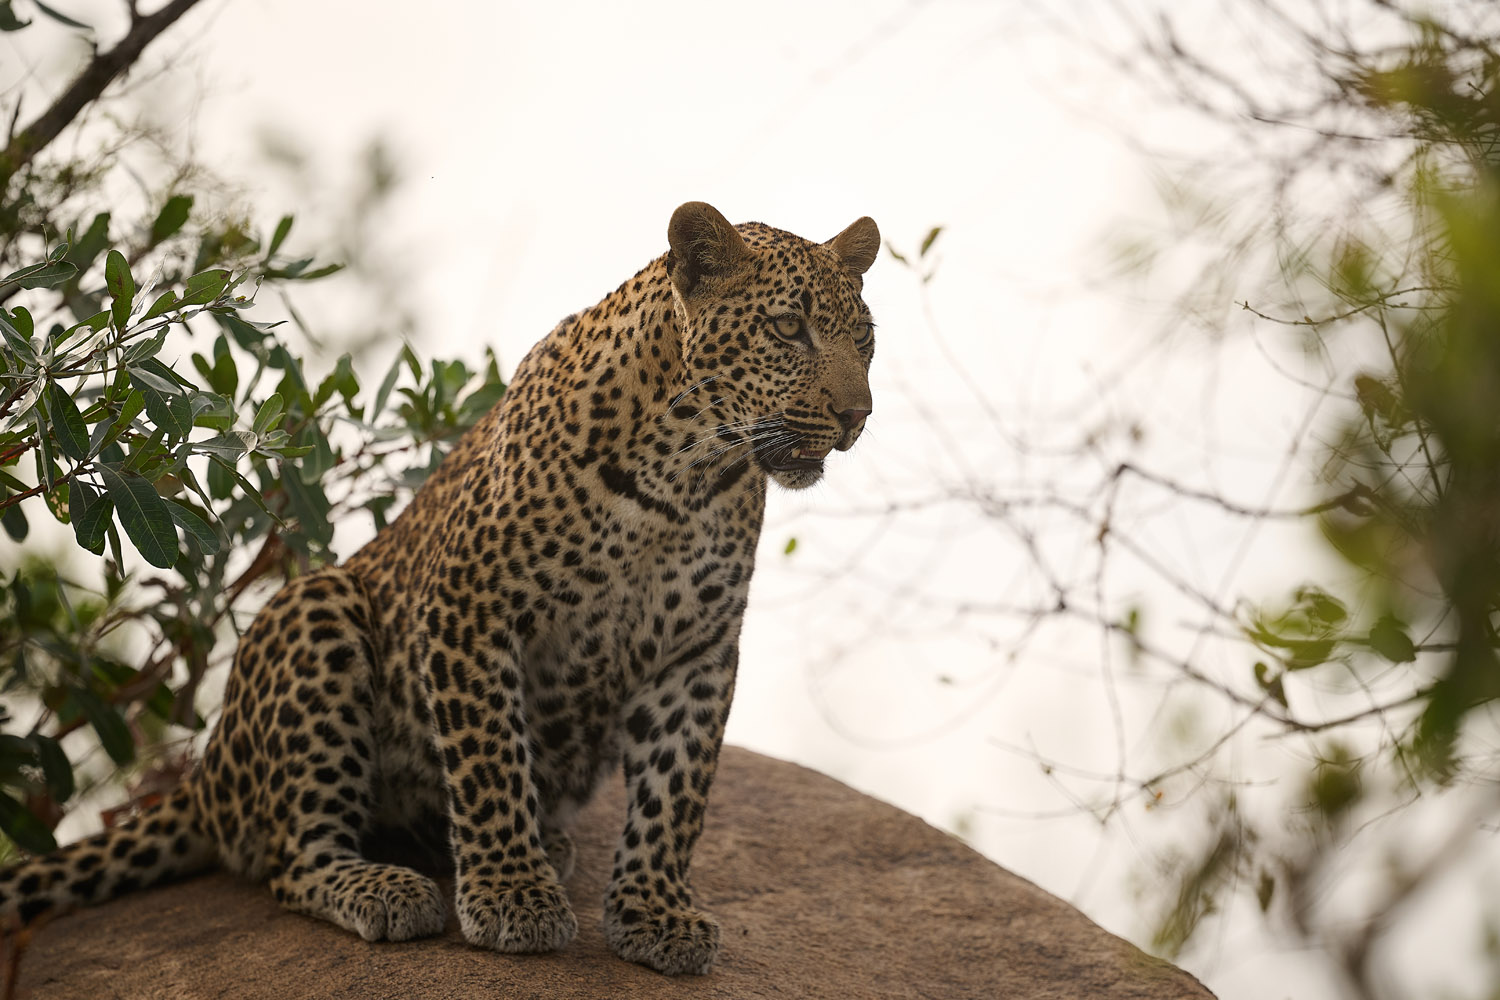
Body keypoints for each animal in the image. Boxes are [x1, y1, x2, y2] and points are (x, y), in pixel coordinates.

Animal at [0, 202, 880, 975]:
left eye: (866, 338)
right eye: (788, 329)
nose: (856, 416)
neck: (687, 474)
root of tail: (209, 772)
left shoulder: (697, 649)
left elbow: (678, 790)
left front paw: (654, 911)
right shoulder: (470, 603)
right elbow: (489, 760)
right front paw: (513, 896)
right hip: (317, 610)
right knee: (287, 857)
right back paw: (389, 887)